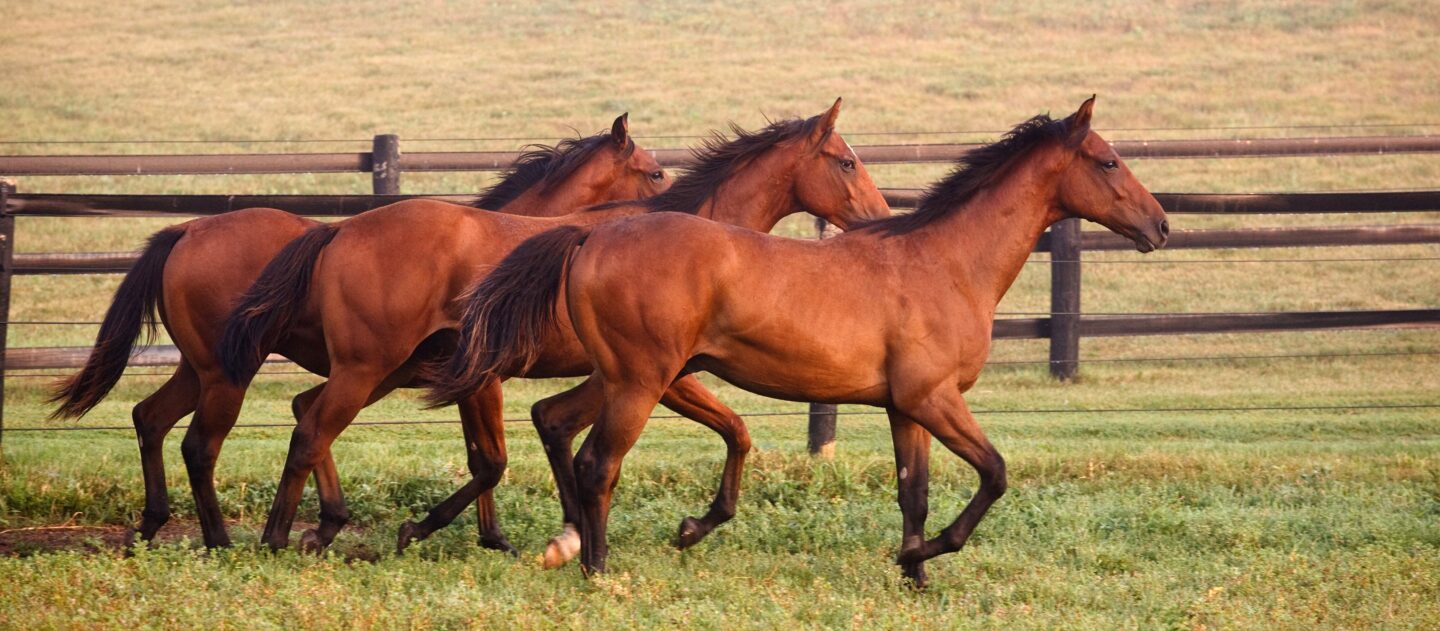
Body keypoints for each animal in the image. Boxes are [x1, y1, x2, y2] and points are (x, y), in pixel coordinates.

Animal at [52, 114, 662, 553]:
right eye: (655, 171)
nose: (662, 215)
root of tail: (184, 229)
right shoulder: (471, 381)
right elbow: (487, 459)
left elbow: (475, 456)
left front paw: (488, 537)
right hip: (232, 375)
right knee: (203, 446)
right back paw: (225, 540)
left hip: (199, 368)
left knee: (150, 419)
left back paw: (153, 526)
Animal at [216, 95, 887, 553]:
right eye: (847, 162)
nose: (880, 218)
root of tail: (338, 231)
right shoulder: (654, 377)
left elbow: (549, 435)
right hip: (368, 368)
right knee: (309, 431)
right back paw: (278, 538)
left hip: (382, 369)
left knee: (307, 415)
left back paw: (318, 528)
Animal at [434, 98, 1169, 587]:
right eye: (1109, 161)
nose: (1160, 225)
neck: (944, 261)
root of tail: (591, 235)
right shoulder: (935, 399)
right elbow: (994, 474)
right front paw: (919, 555)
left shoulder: (906, 407)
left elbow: (914, 492)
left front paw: (915, 576)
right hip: (641, 383)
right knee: (595, 463)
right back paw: (598, 567)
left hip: (625, 378)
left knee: (556, 426)